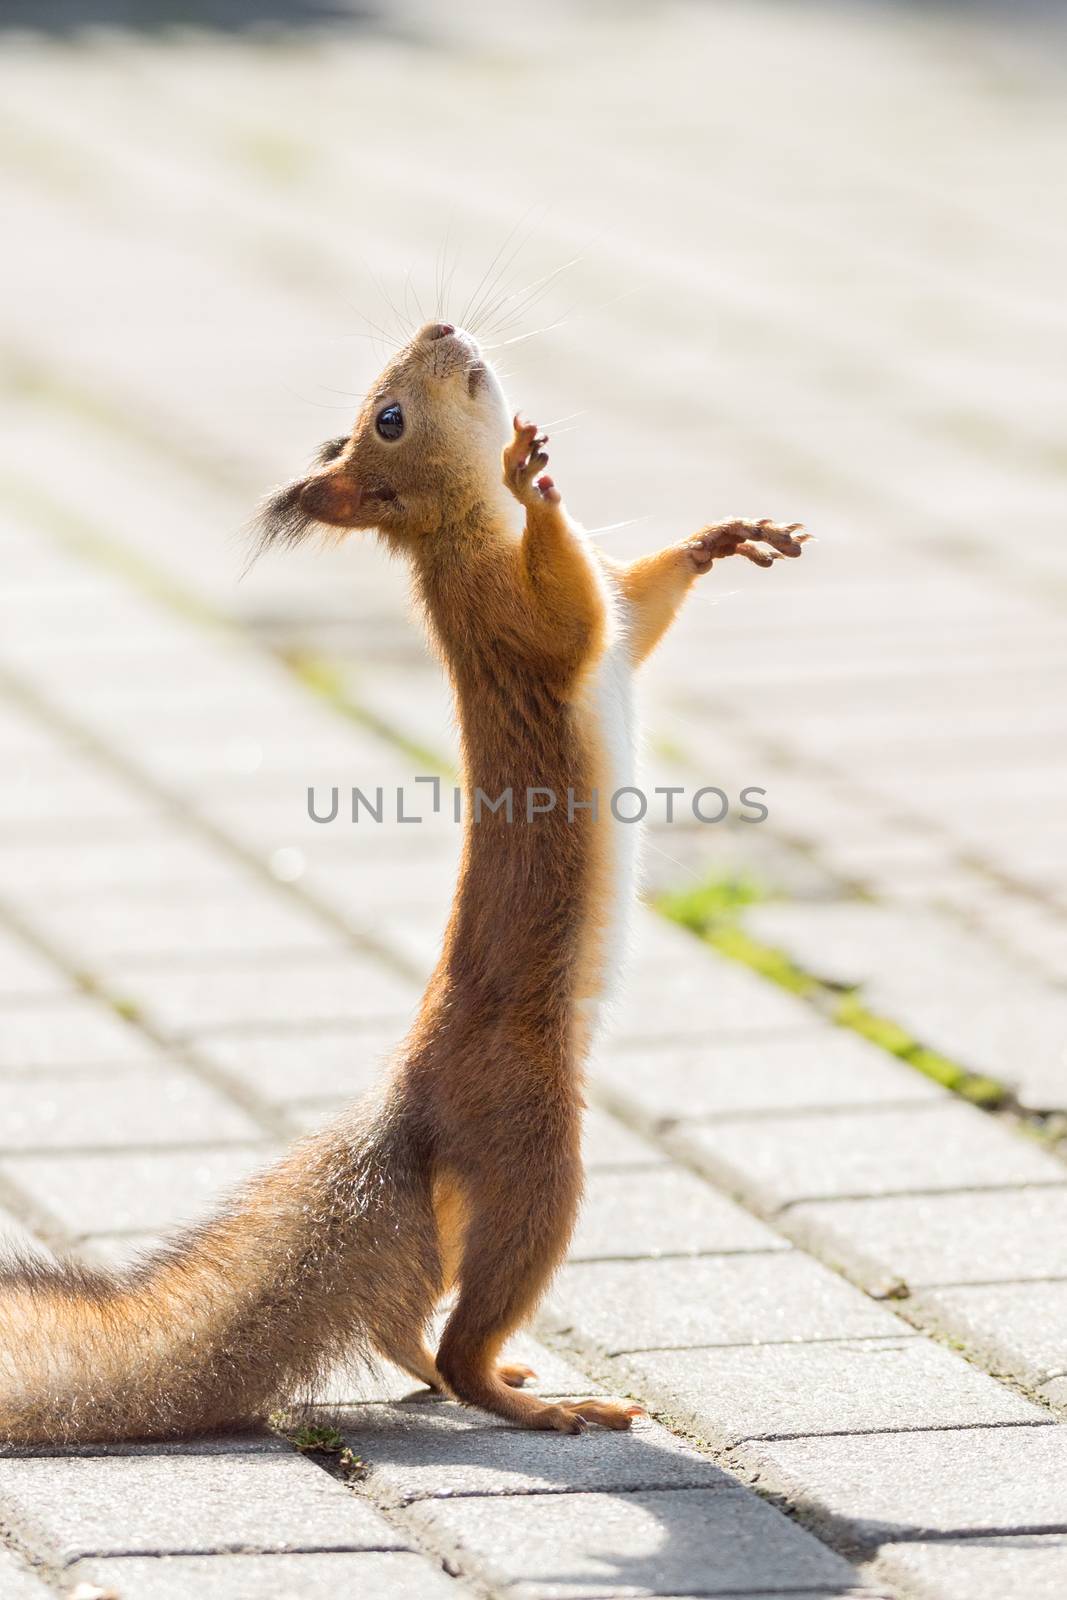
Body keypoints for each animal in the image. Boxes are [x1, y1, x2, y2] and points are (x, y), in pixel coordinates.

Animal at [0, 318, 799, 1446]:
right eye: (387, 418)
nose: (439, 329)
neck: (459, 534)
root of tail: (410, 1106)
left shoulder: (612, 615)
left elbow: (633, 610)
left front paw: (719, 537)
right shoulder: (509, 622)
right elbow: (568, 616)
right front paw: (529, 477)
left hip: (455, 1209)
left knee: (401, 1320)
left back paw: (462, 1370)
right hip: (533, 1162)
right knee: (469, 1333)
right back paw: (540, 1402)